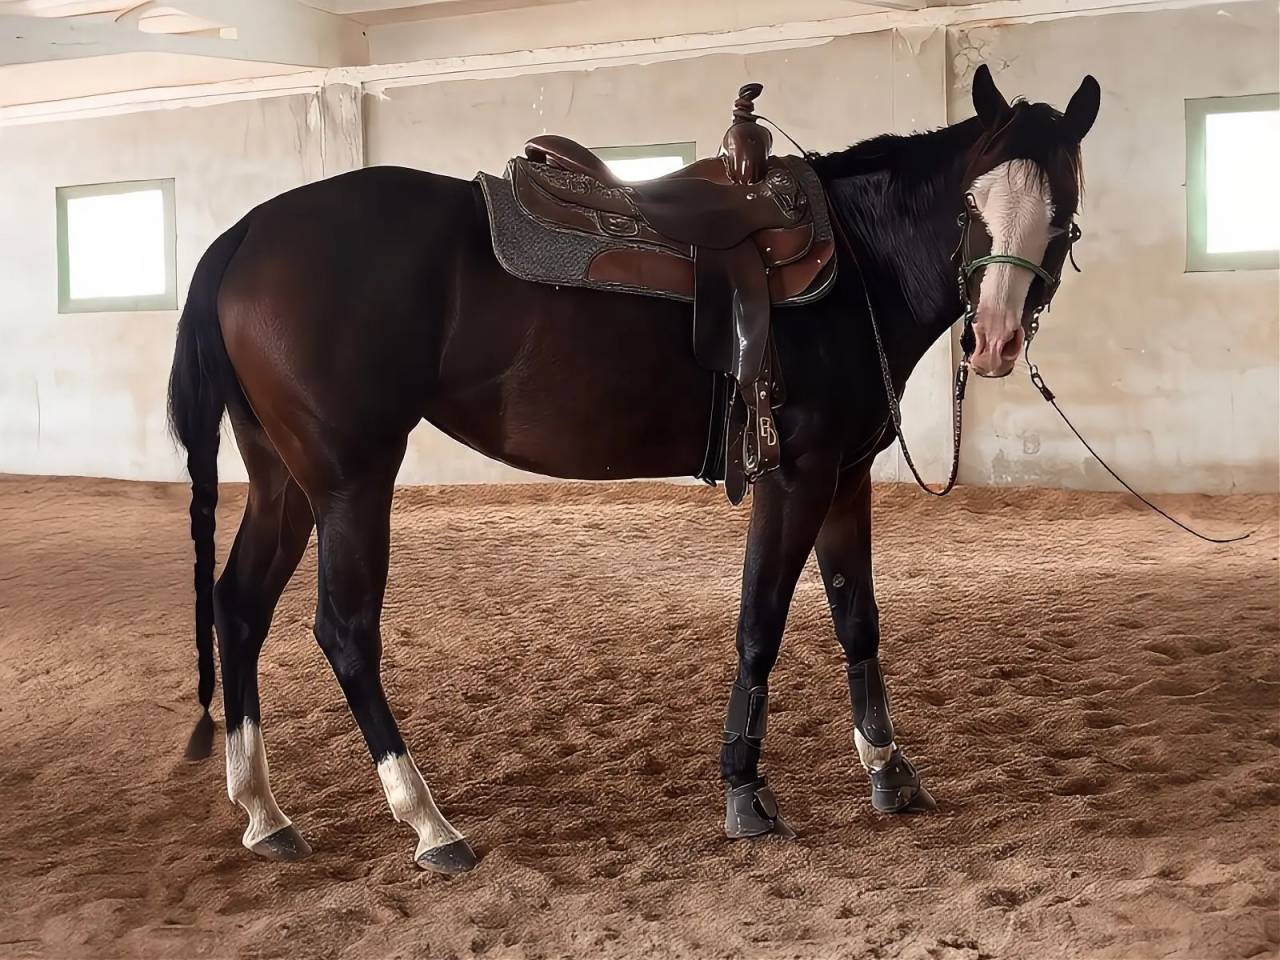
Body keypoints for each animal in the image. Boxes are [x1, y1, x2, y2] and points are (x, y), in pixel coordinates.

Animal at [167, 65, 1099, 873]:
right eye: (971, 202)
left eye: (1061, 209)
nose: (994, 340)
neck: (857, 265)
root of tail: (245, 234)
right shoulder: (796, 473)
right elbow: (761, 622)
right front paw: (745, 791)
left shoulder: (846, 476)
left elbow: (857, 619)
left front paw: (888, 770)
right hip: (351, 482)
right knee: (345, 632)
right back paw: (429, 823)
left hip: (286, 480)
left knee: (240, 606)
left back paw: (264, 813)